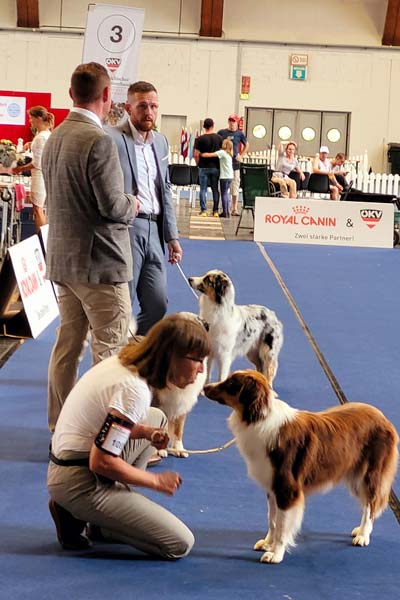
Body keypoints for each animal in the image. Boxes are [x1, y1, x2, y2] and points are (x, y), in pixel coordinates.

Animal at [204, 370, 399, 564]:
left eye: (231, 383)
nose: (205, 387)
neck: (259, 418)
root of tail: (382, 416)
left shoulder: (287, 488)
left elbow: (282, 525)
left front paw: (275, 553)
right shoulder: (272, 486)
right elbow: (272, 520)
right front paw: (268, 543)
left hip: (370, 473)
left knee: (371, 503)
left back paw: (363, 535)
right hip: (354, 474)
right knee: (366, 502)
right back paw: (360, 530)